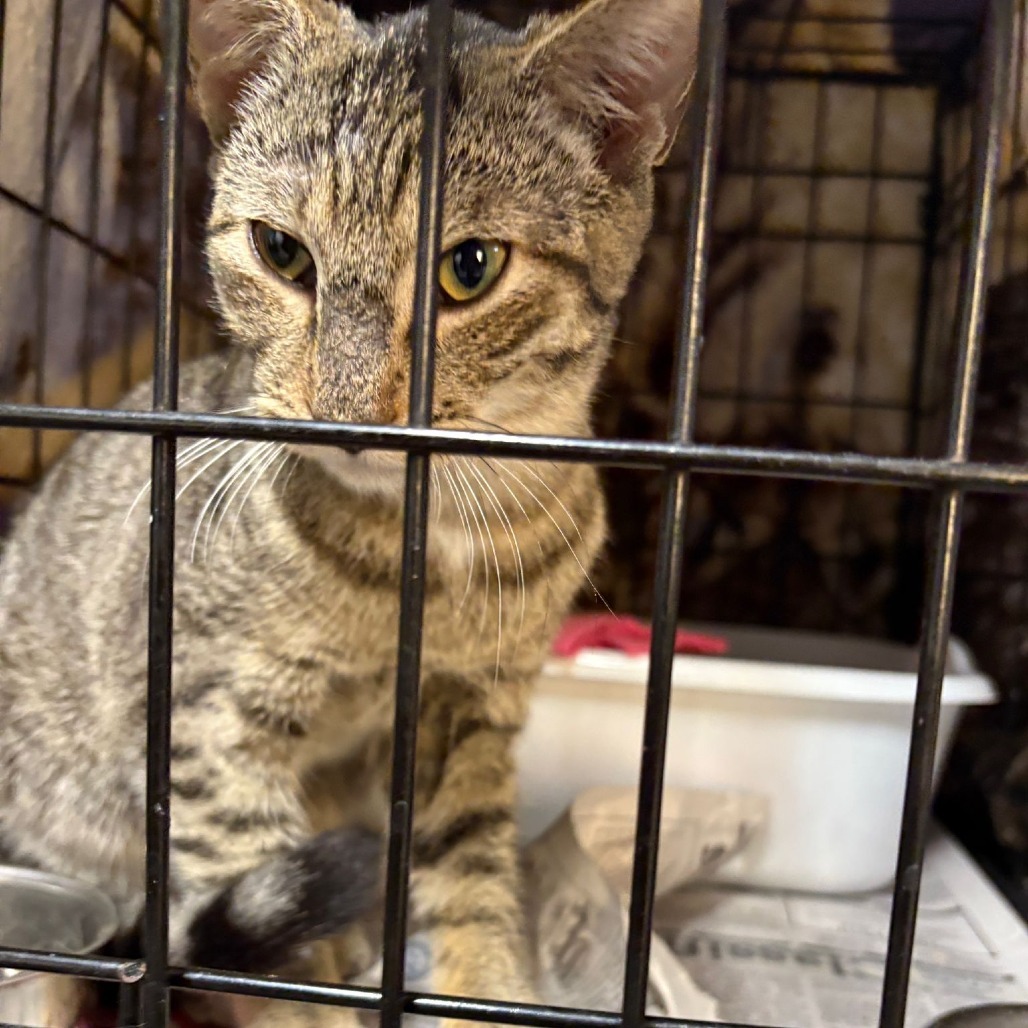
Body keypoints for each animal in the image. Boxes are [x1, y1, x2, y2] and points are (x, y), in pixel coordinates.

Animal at [0, 2, 703, 1028]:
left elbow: (472, 868)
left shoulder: (469, 708)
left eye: (471, 267)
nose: (346, 409)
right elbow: (266, 952)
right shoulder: (204, 722)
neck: (428, 548)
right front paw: (317, 1001)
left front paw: (486, 984)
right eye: (281, 251)